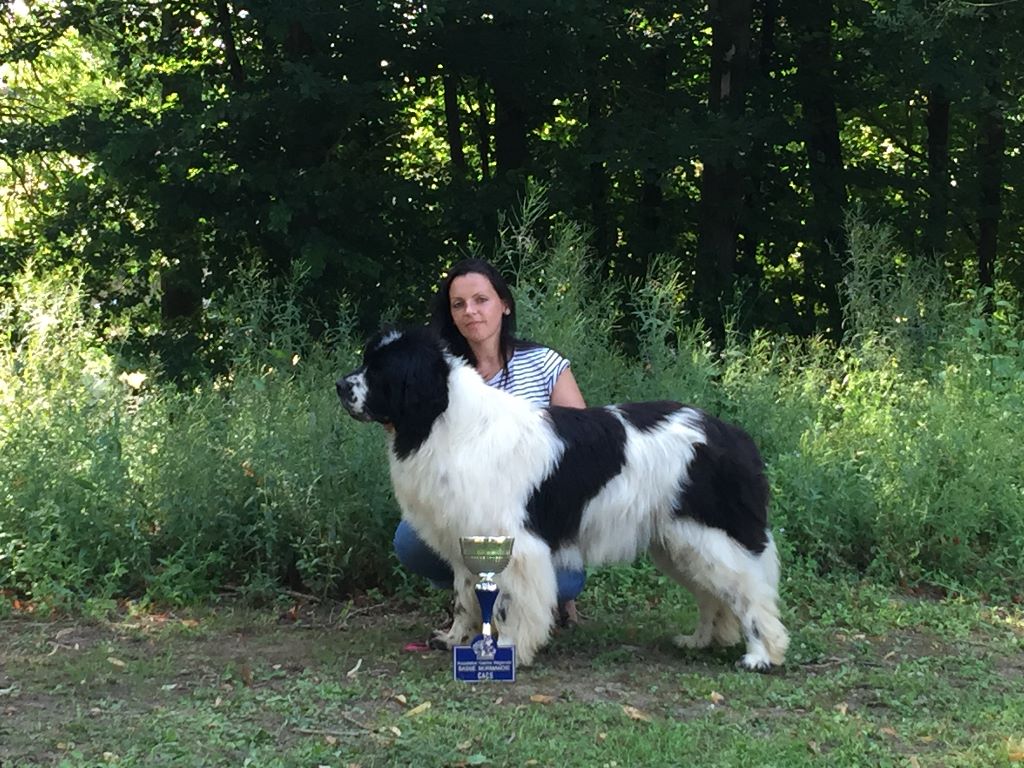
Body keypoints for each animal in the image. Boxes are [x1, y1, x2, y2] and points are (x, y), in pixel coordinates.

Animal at [339, 327, 786, 671]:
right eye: (366, 360)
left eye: (382, 370)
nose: (341, 386)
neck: (445, 423)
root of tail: (732, 435)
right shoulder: (467, 535)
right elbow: (465, 595)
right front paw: (454, 639)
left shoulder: (515, 545)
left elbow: (507, 604)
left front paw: (508, 648)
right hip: (678, 544)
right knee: (713, 595)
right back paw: (698, 640)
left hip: (710, 537)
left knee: (750, 593)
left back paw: (761, 655)